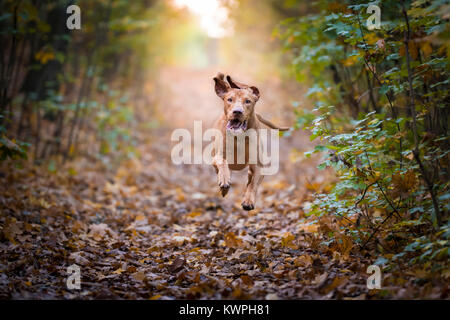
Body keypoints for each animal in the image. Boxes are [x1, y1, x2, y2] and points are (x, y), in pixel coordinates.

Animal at [211, 73, 288, 211]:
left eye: (248, 101)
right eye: (229, 99)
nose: (237, 111)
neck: (238, 137)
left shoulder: (258, 166)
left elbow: (253, 184)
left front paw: (248, 201)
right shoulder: (217, 157)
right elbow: (223, 163)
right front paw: (224, 181)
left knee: (249, 180)